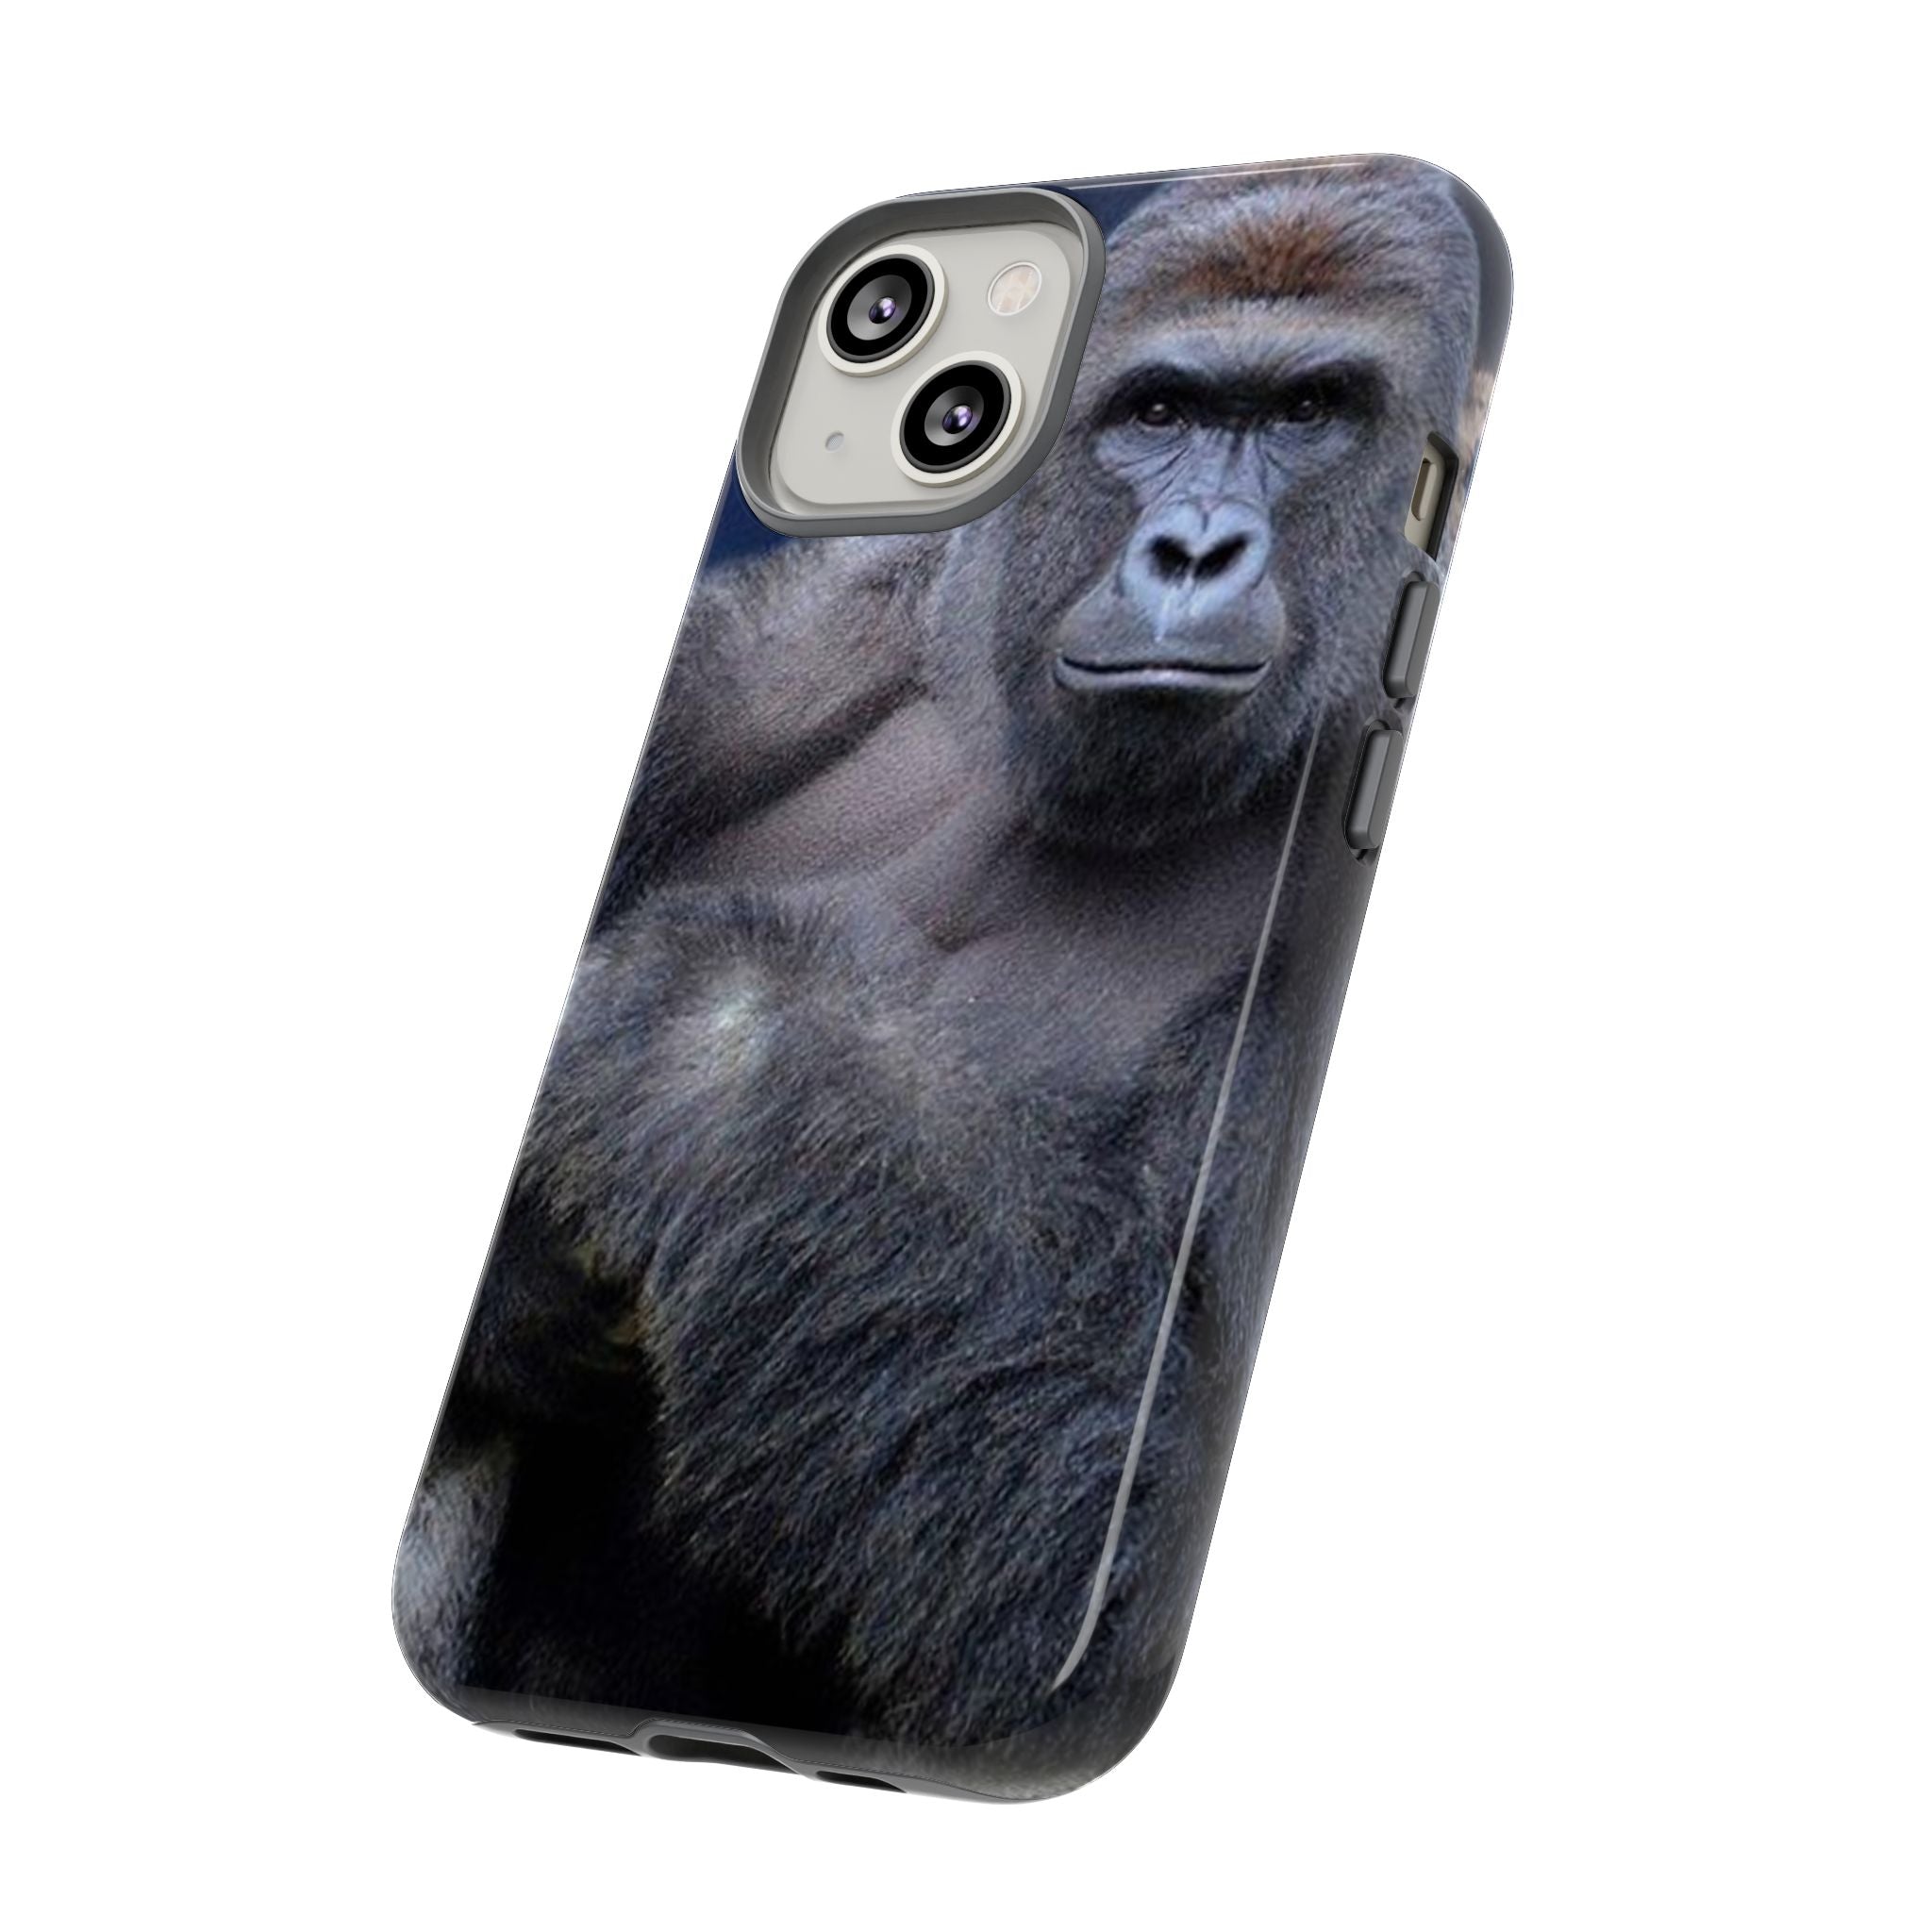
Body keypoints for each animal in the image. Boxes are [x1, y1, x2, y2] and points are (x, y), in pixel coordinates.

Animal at [396, 159, 1488, 1791]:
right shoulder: (798, 638)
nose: (1193, 553)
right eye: (1159, 412)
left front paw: (712, 1045)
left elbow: (1096, 1537)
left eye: (1311, 411)